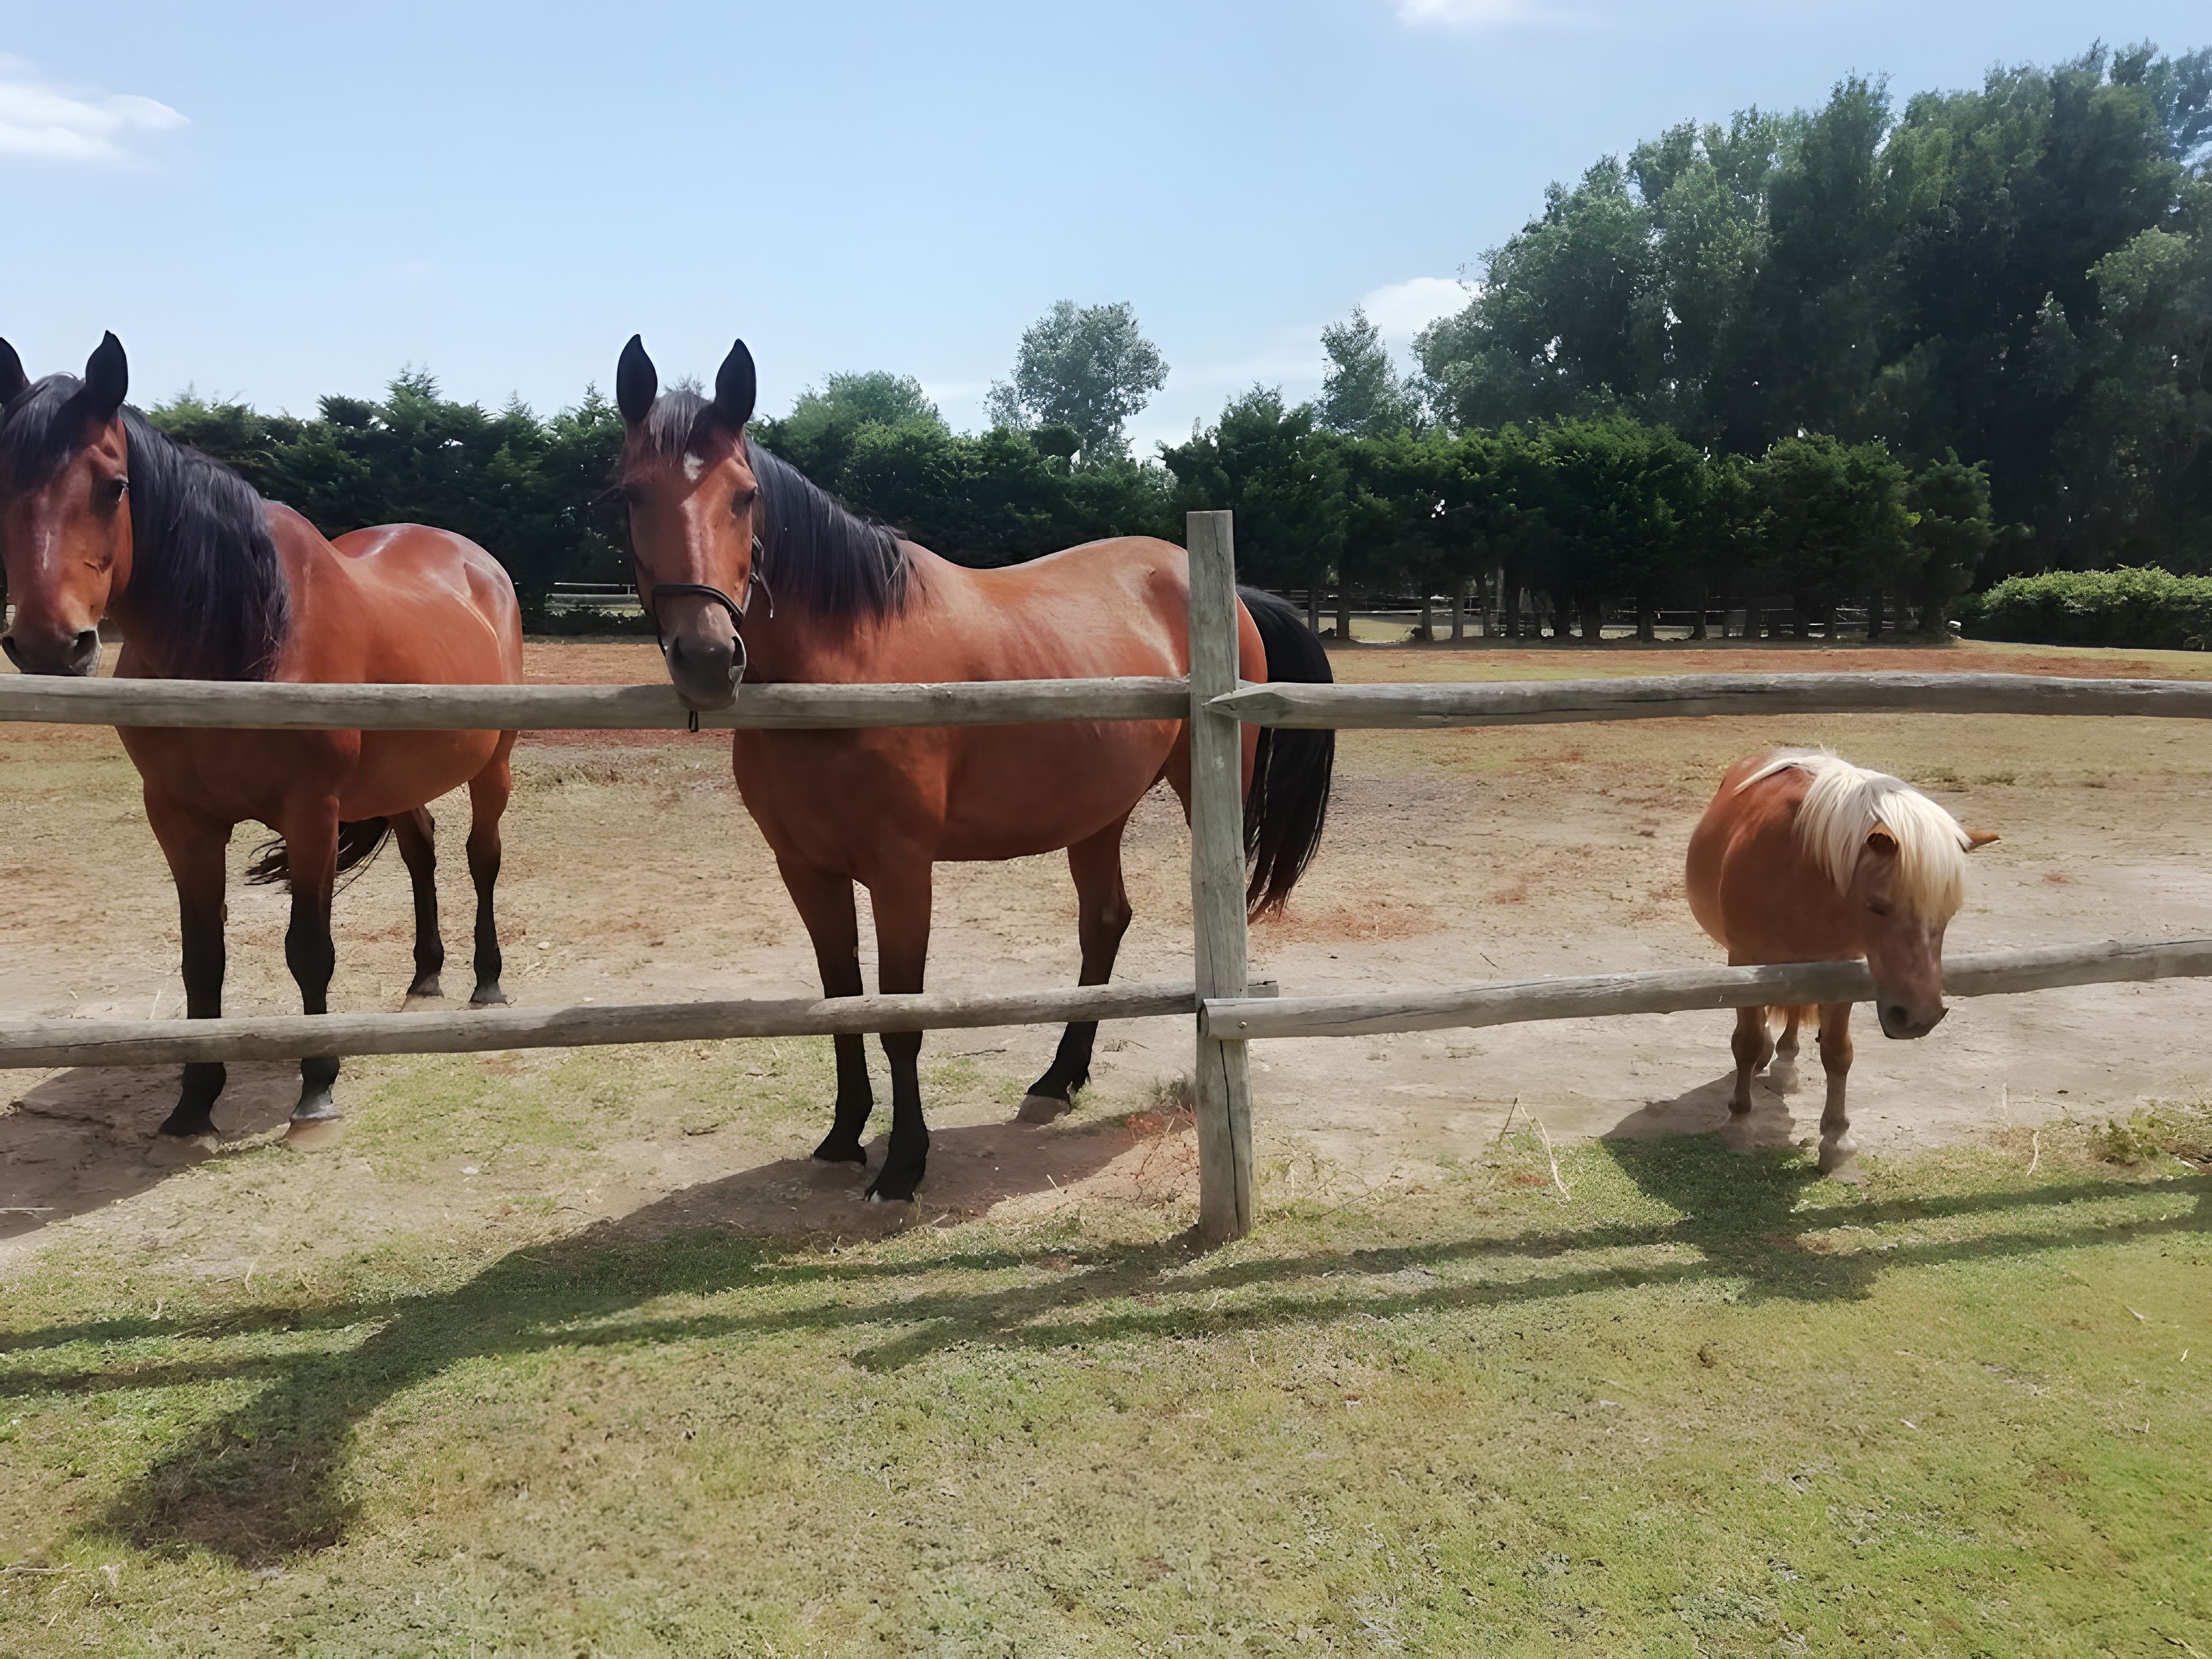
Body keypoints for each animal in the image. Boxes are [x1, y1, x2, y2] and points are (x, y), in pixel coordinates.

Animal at [0, 334, 525, 1150]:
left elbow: (308, 951)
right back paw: (425, 977)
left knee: (481, 858)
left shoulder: (311, 814)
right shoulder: (180, 818)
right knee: (422, 851)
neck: (243, 638)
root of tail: (477, 560)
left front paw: (317, 1091)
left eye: (115, 487)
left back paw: (486, 983)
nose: (51, 644)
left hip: (492, 766)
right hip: (400, 781)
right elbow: (202, 960)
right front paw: (194, 1102)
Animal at [611, 334, 1335, 1202]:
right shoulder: (806, 870)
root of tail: (1222, 588)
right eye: (630, 494)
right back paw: (1058, 1078)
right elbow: (842, 1000)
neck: (849, 667)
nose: (709, 657)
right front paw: (844, 1135)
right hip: (1097, 811)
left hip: (1206, 790)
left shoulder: (901, 871)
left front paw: (905, 1163)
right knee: (1104, 922)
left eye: (745, 497)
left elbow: (900, 1018)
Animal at [1686, 748, 1996, 1176]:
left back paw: (1785, 1062)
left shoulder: (1840, 970)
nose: (1919, 1019)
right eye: (1877, 906)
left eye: (1949, 912)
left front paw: (1836, 1141)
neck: (1799, 867)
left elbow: (1837, 1053)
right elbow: (1745, 1043)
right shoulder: (1744, 960)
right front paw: (1739, 1121)